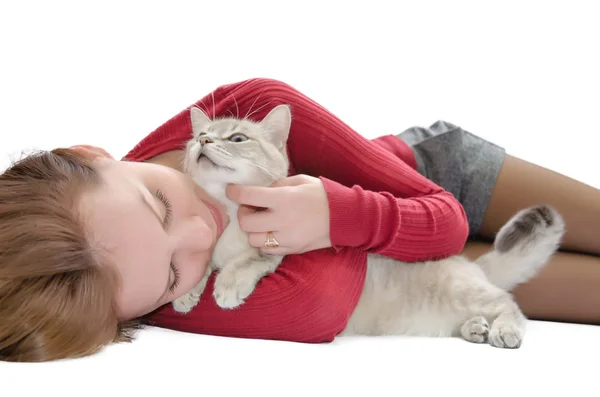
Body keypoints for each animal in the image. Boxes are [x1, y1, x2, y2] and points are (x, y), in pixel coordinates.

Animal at [171, 103, 564, 348]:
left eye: (237, 138)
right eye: (198, 136)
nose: (203, 141)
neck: (228, 215)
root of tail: (469, 263)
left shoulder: (284, 248)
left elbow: (251, 259)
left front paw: (227, 286)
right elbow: (201, 259)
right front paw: (187, 292)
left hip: (467, 292)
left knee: (510, 304)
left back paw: (503, 331)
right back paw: (475, 329)